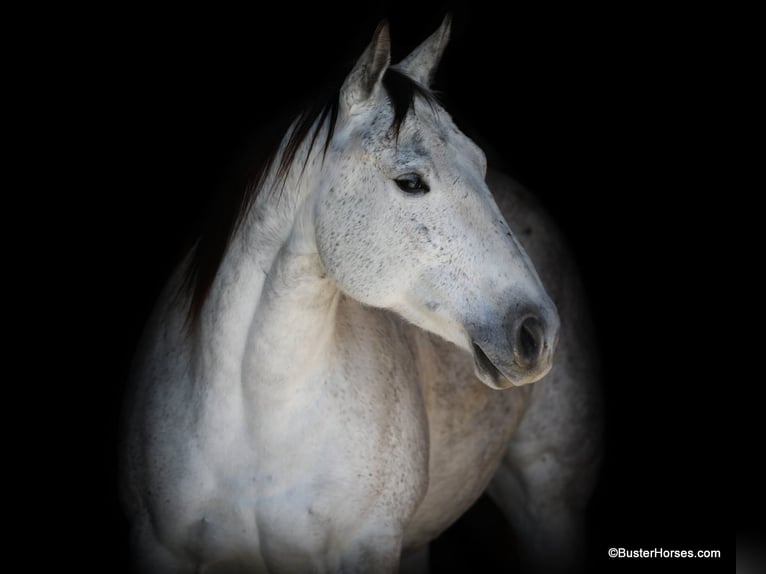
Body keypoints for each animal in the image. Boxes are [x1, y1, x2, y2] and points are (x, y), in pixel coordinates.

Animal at [121, 16, 601, 573]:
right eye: (410, 182)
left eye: (479, 164)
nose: (537, 332)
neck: (255, 418)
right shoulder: (161, 548)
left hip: (549, 501)